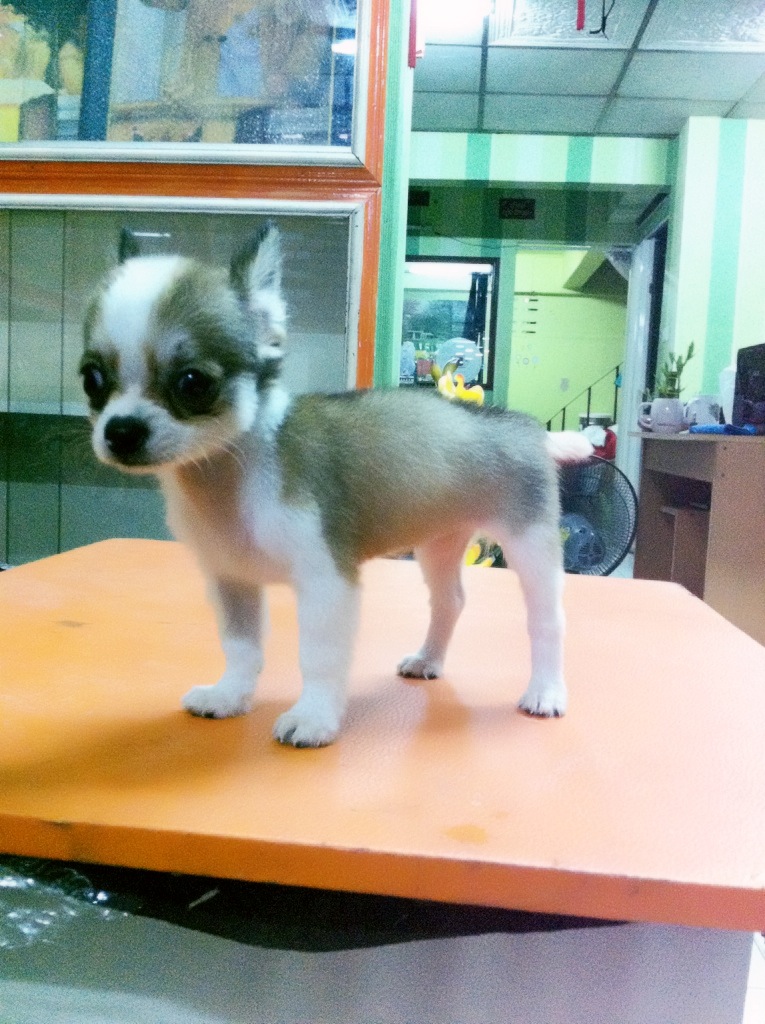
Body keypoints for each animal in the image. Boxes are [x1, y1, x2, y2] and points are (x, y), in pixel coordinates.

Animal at [80, 225, 592, 747]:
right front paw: (230, 696)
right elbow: (241, 647)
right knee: (450, 601)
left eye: (193, 383)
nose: (121, 430)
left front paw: (314, 717)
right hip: (438, 542)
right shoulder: (231, 579)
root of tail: (527, 428)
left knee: (547, 622)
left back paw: (546, 690)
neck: (230, 472)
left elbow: (319, 658)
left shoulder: (326, 583)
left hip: (530, 544)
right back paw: (428, 659)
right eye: (91, 379)